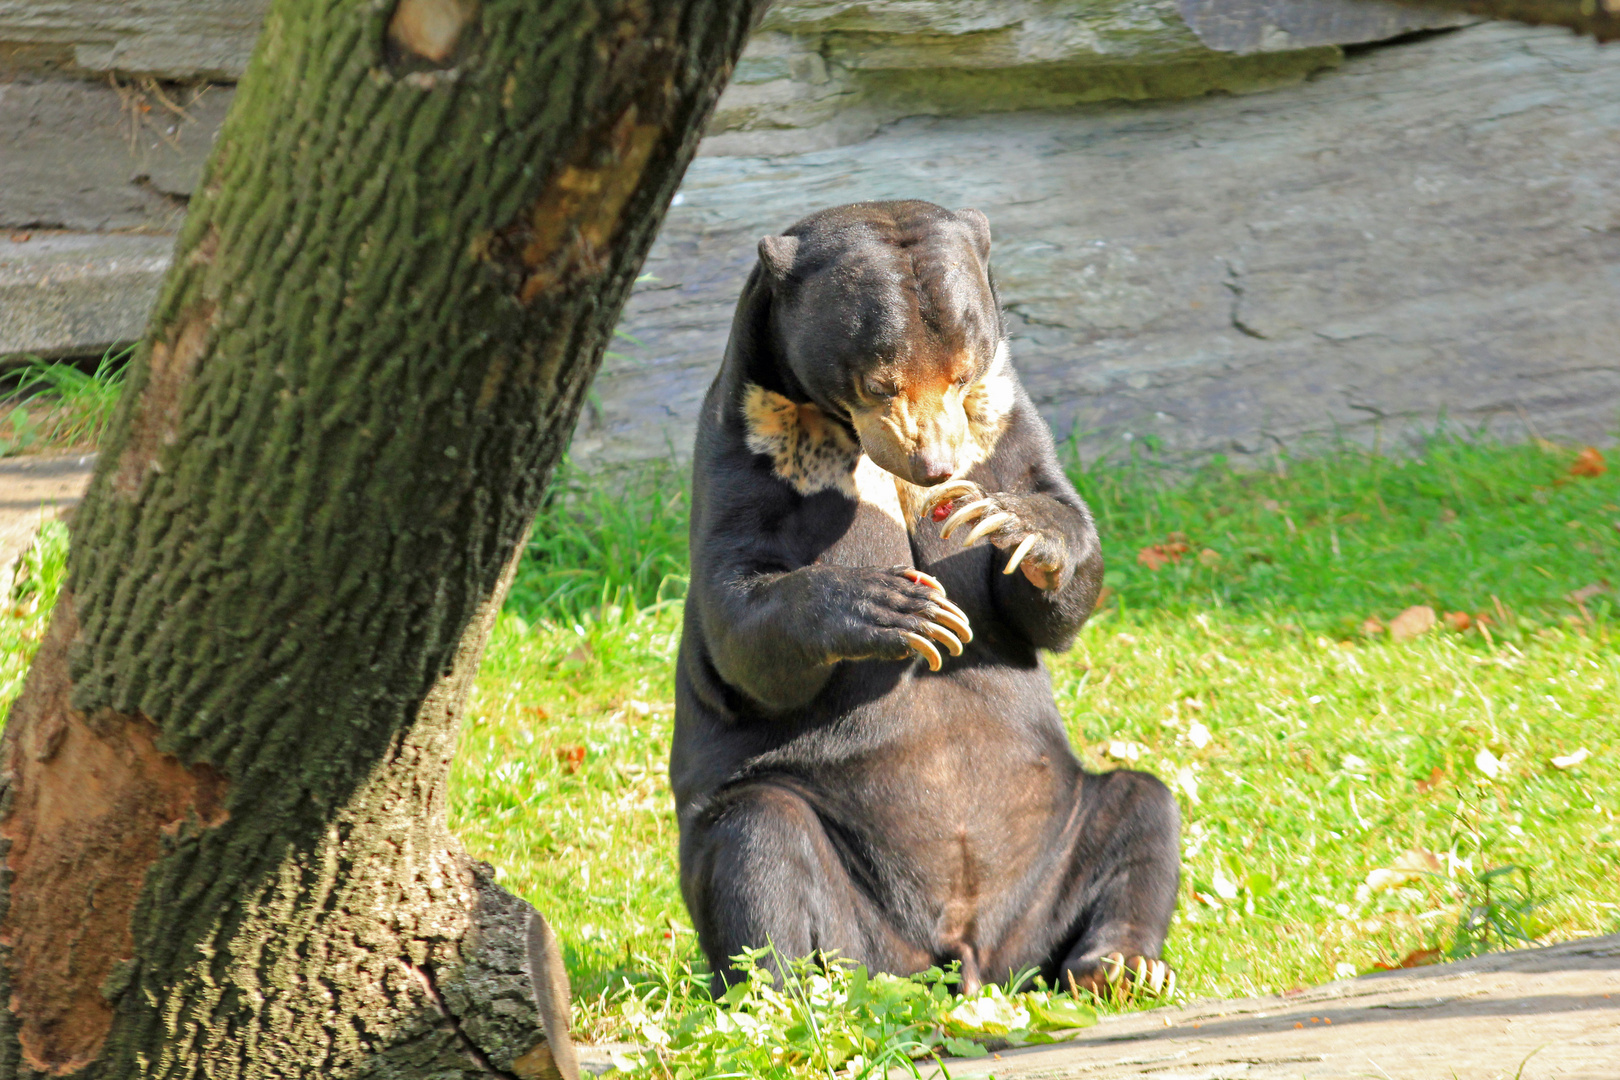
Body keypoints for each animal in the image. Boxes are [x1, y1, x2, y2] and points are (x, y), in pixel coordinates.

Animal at [670, 200, 1179, 997]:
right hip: (838, 870)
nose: (935, 464)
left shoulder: (1003, 425)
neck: (843, 439)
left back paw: (1117, 966)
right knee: (759, 835)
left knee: (1141, 810)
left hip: (1058, 838)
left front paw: (1016, 526)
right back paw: (786, 993)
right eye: (880, 383)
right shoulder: (750, 444)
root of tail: (966, 952)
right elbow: (739, 628)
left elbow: (1051, 565)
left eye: (962, 371)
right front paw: (899, 610)